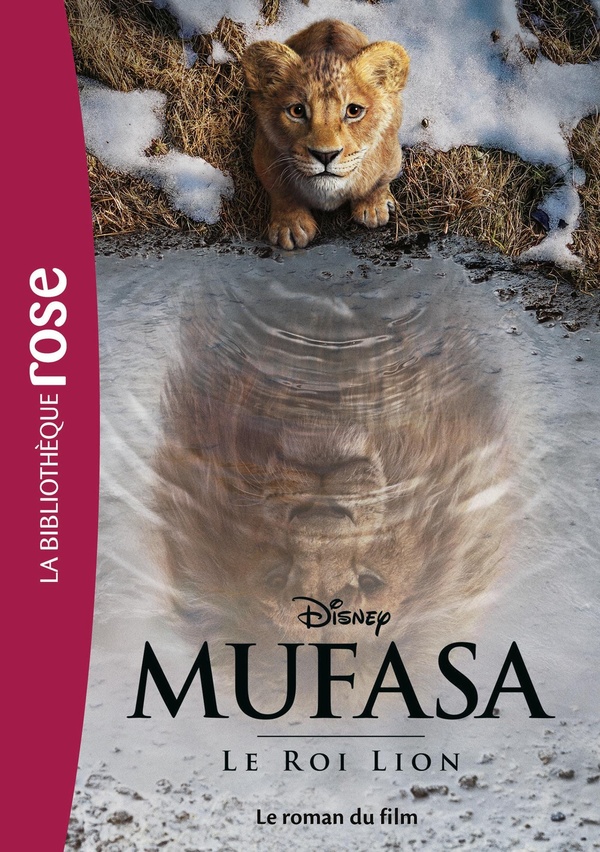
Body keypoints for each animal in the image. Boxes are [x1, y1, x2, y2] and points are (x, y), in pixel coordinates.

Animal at [242, 19, 410, 249]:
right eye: (297, 111)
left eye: (354, 111)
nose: (325, 155)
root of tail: (331, 21)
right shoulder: (264, 155)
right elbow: (281, 191)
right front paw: (290, 226)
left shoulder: (391, 155)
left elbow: (378, 183)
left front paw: (373, 208)